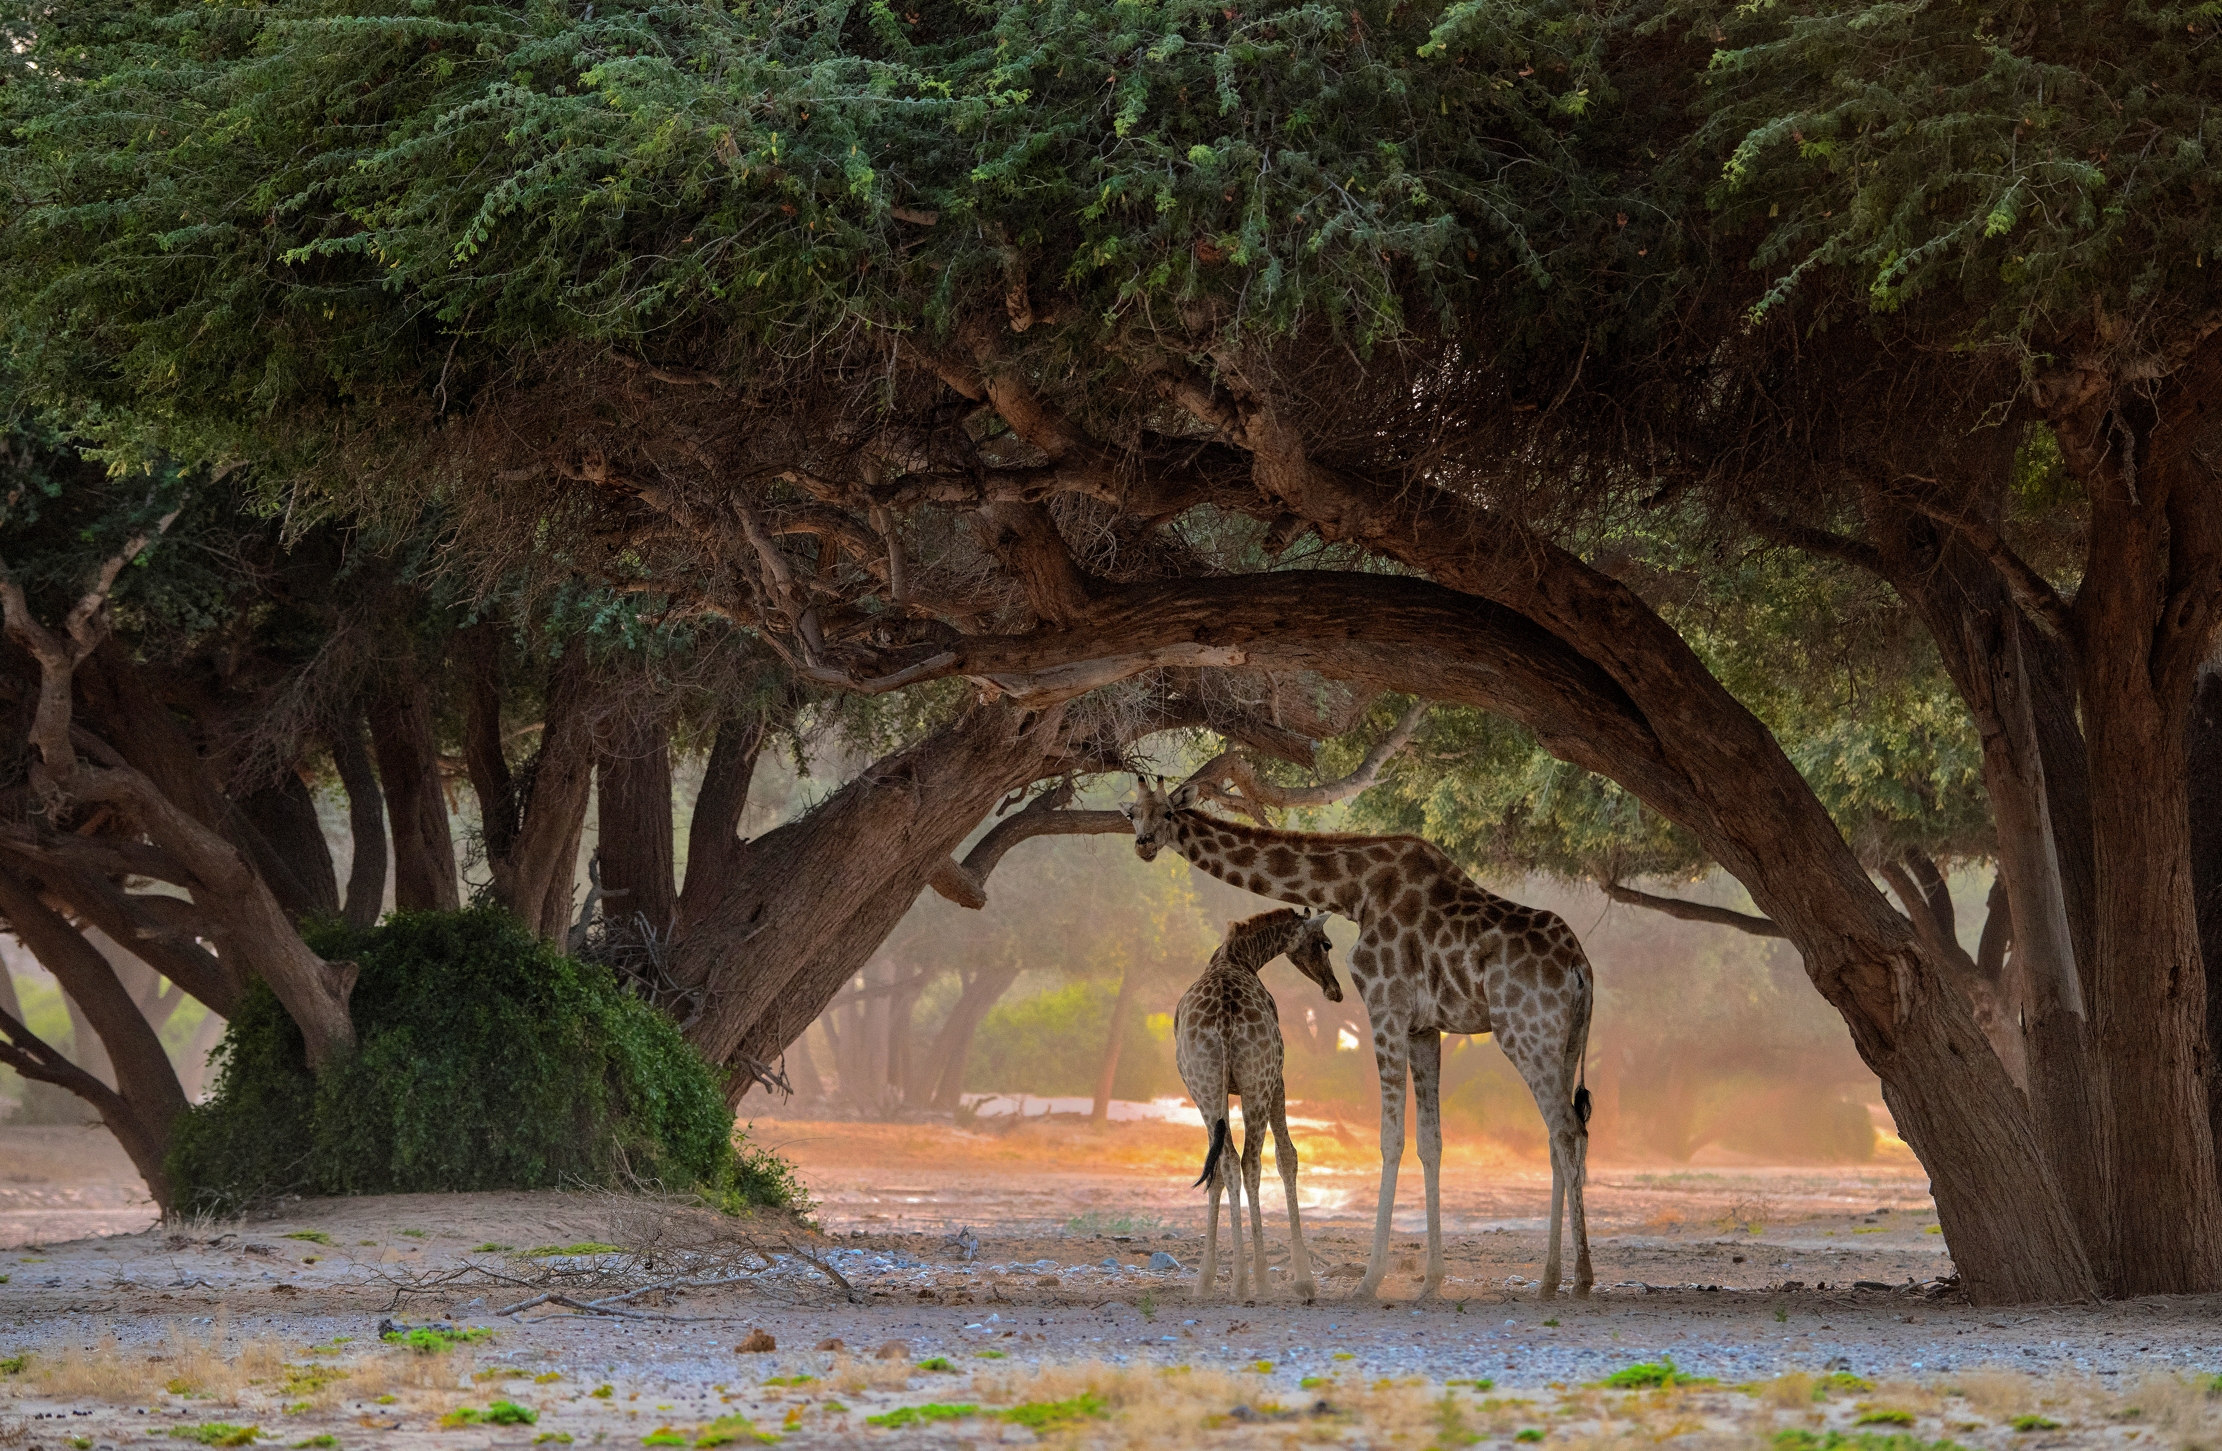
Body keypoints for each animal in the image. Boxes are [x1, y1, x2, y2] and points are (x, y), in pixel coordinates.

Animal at [1174, 907, 1339, 1303]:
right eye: (1326, 943)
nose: (1335, 990)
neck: (1240, 955)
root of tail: (1224, 1020)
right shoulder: (1278, 1079)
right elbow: (1287, 1157)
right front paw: (1303, 1278)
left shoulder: (1218, 1091)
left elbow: (1219, 1169)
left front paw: (1208, 1280)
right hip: (1257, 1082)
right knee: (1251, 1162)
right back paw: (1260, 1280)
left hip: (1204, 1086)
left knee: (1226, 1163)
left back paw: (1231, 1281)